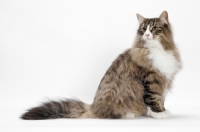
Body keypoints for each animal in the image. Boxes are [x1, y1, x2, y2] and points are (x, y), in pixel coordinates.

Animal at [20, 10, 181, 119]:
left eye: (153, 29)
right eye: (142, 30)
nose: (147, 35)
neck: (157, 50)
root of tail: (94, 107)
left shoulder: (163, 80)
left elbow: (160, 98)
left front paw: (162, 110)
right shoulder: (150, 80)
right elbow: (153, 98)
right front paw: (159, 113)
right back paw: (129, 113)